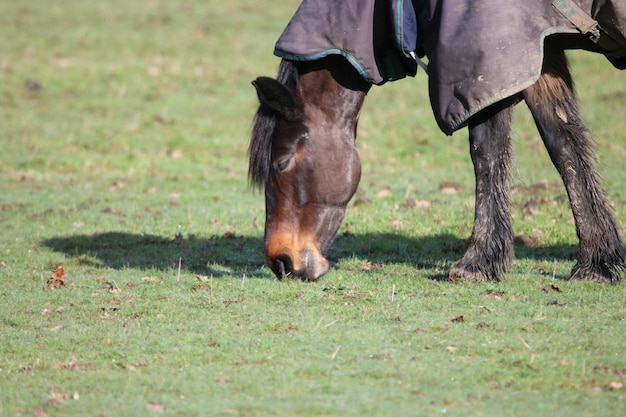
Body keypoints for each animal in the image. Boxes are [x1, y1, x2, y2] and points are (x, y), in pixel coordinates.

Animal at [249, 2, 624, 282]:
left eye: (282, 163)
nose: (281, 261)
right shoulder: (539, 51)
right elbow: (566, 147)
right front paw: (598, 263)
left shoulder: (489, 69)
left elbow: (486, 154)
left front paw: (477, 263)